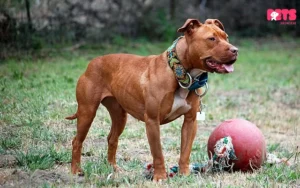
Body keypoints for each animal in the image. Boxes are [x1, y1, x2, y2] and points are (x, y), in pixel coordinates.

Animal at [66, 18, 239, 181]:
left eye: (226, 37)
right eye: (211, 39)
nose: (235, 50)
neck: (179, 72)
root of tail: (92, 62)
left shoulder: (190, 121)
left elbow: (185, 152)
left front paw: (184, 174)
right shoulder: (152, 121)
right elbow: (158, 153)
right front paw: (160, 177)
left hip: (120, 116)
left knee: (112, 139)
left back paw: (113, 168)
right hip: (87, 112)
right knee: (77, 141)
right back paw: (76, 170)